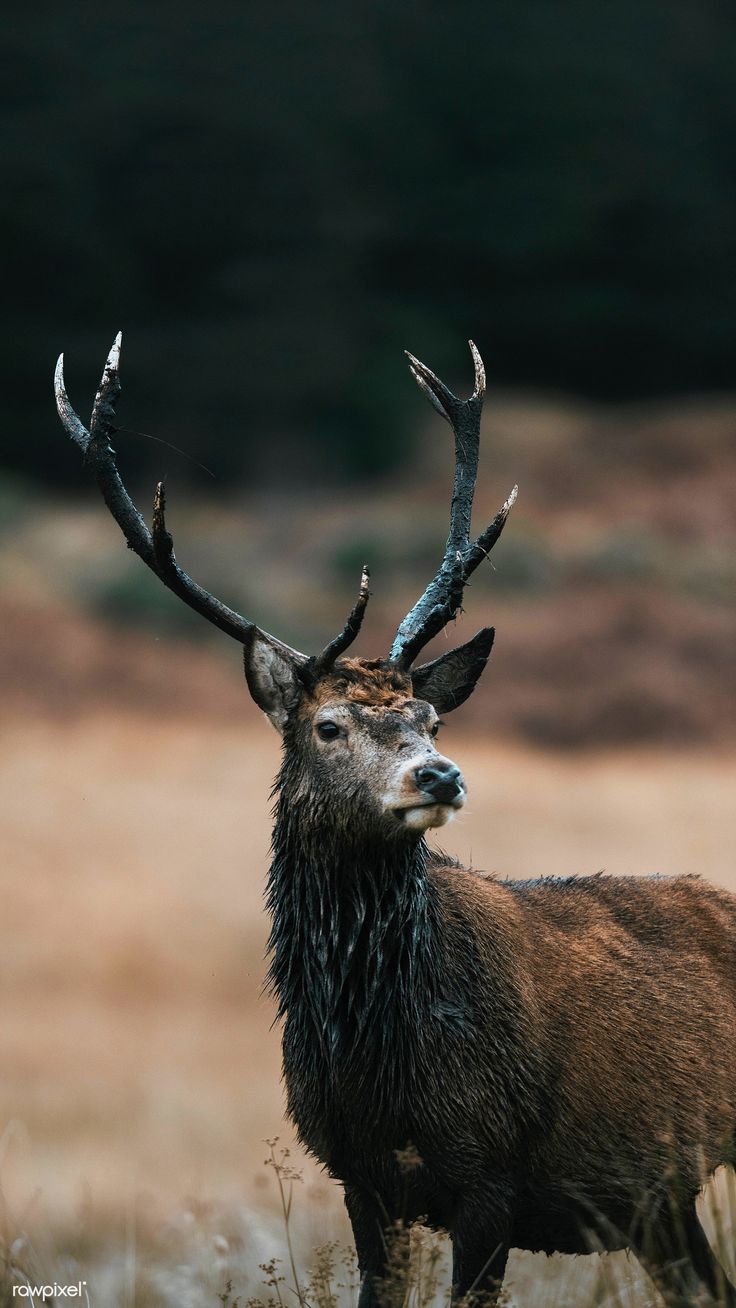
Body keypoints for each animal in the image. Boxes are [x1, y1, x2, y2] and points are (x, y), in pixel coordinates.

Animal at [55, 337, 736, 1306]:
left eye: (432, 719)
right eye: (330, 727)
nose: (440, 774)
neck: (381, 1062)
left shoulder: (493, 1170)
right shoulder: (362, 1175)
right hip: (659, 1200)